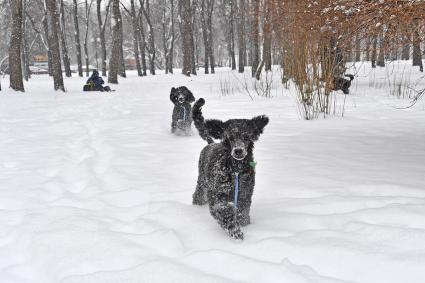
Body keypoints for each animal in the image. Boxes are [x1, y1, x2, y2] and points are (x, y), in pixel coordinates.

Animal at [192, 98, 268, 241]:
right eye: (230, 137)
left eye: (246, 137)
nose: (238, 151)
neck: (235, 169)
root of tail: (211, 143)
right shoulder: (217, 196)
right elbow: (224, 211)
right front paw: (235, 230)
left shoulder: (244, 194)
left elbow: (243, 213)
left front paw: (243, 224)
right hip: (202, 182)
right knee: (198, 195)